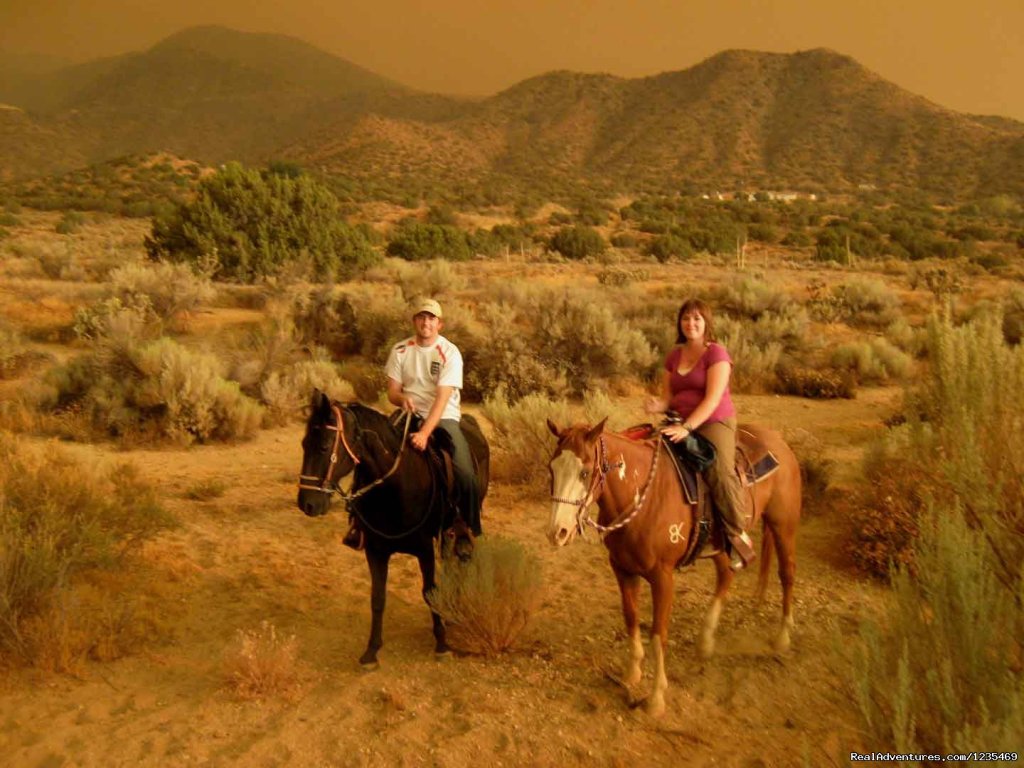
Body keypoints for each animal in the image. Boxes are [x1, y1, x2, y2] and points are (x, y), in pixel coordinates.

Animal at [296, 391, 487, 667]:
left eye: (324, 446)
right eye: (303, 444)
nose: (307, 504)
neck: (396, 488)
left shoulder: (424, 549)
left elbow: (429, 592)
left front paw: (441, 643)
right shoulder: (375, 550)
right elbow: (377, 599)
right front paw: (371, 650)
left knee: (462, 559)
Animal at [544, 421, 798, 716]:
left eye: (585, 472)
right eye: (552, 468)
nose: (557, 532)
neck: (643, 495)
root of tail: (779, 441)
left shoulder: (662, 577)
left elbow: (658, 635)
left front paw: (656, 698)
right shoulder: (622, 569)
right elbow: (631, 619)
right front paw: (632, 674)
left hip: (783, 525)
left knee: (787, 573)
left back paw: (782, 638)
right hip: (721, 543)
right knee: (725, 574)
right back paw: (706, 641)